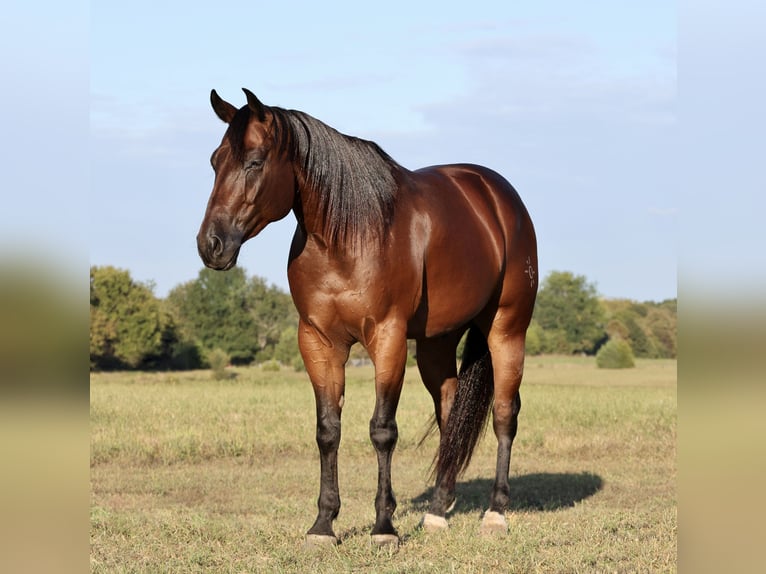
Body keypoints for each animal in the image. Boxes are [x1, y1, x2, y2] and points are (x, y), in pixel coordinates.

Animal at [201, 90, 544, 548]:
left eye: (254, 162)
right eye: (215, 161)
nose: (211, 245)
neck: (347, 236)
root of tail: (498, 197)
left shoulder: (388, 338)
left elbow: (382, 430)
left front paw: (384, 526)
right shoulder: (318, 342)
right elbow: (328, 430)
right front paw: (323, 525)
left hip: (507, 330)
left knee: (505, 413)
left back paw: (495, 512)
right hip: (436, 343)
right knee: (450, 414)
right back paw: (438, 510)